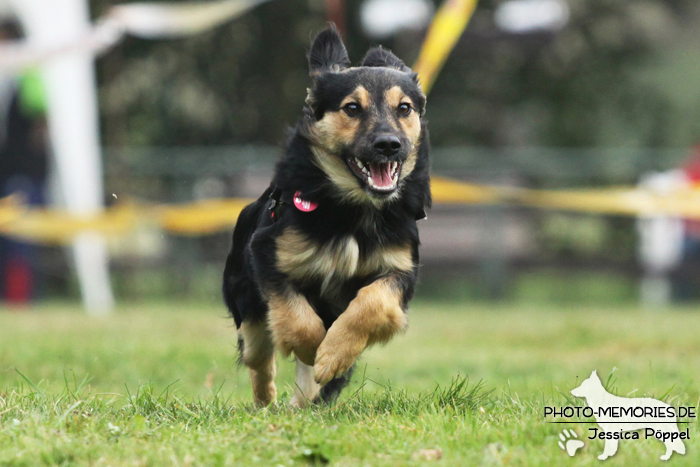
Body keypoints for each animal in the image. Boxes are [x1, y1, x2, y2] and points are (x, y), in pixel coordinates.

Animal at [224, 24, 432, 406]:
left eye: (404, 108)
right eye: (351, 108)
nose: (389, 144)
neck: (354, 209)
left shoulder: (400, 270)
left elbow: (372, 303)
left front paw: (333, 354)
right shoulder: (268, 253)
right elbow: (298, 320)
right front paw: (314, 350)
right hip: (246, 302)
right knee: (258, 353)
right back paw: (266, 401)